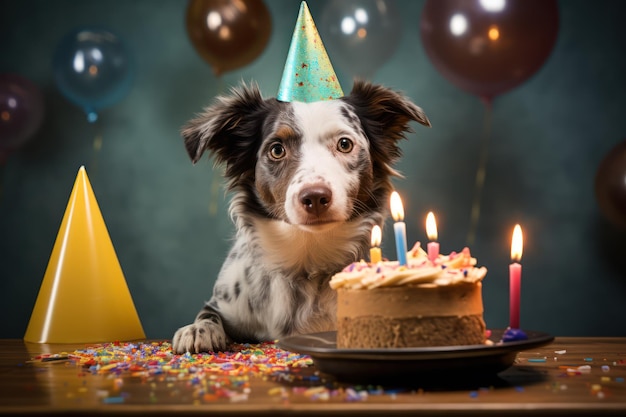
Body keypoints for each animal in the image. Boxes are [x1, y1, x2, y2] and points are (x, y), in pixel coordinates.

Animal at [169, 79, 428, 352]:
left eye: (345, 144)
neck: (306, 259)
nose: (315, 197)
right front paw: (198, 330)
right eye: (276, 149)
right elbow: (208, 314)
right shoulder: (222, 304)